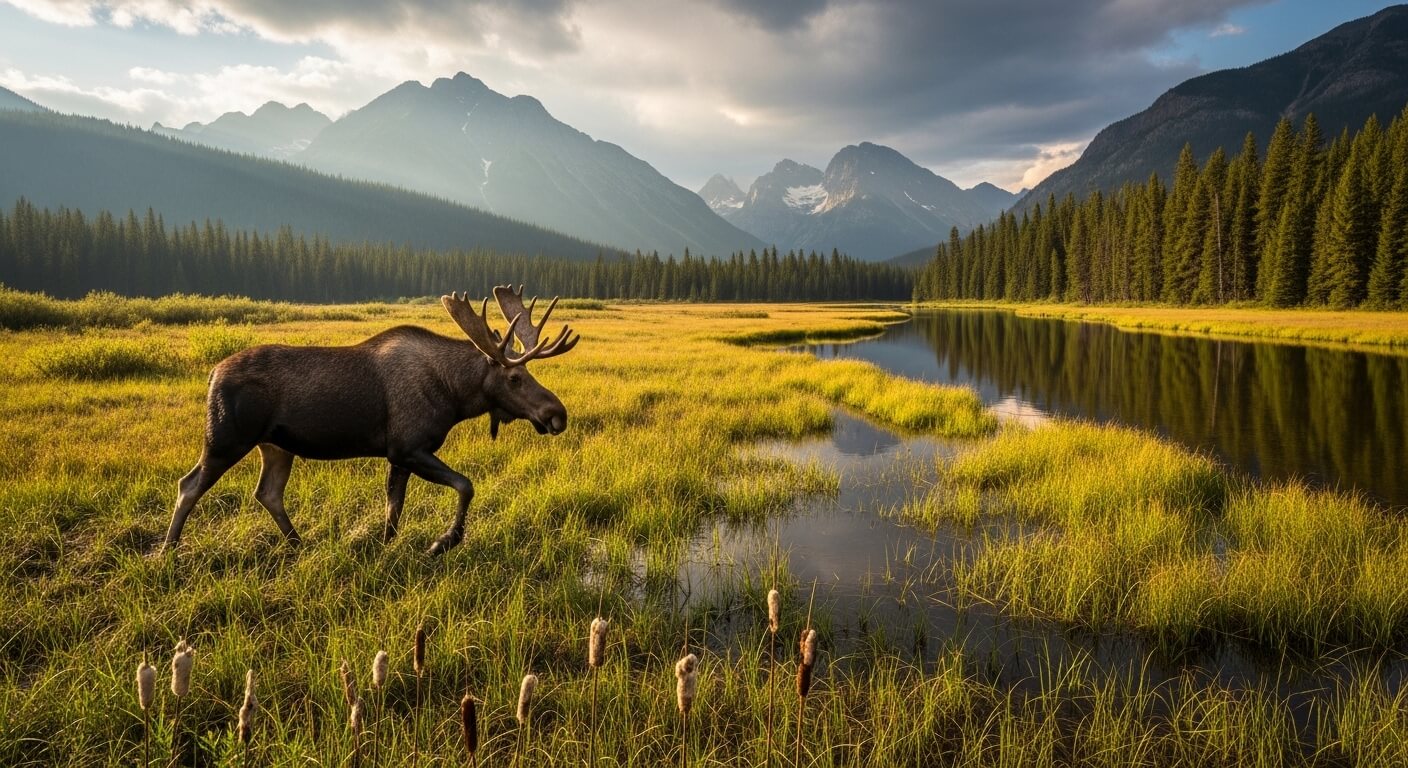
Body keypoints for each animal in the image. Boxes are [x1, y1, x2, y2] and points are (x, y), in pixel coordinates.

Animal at [161, 285, 579, 556]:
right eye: (515, 377)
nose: (556, 414)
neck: (455, 394)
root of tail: (212, 374)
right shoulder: (408, 447)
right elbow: (465, 485)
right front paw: (442, 542)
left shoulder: (399, 455)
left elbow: (393, 509)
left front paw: (383, 547)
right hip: (226, 439)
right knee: (189, 485)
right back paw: (168, 549)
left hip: (276, 445)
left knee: (268, 492)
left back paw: (298, 543)